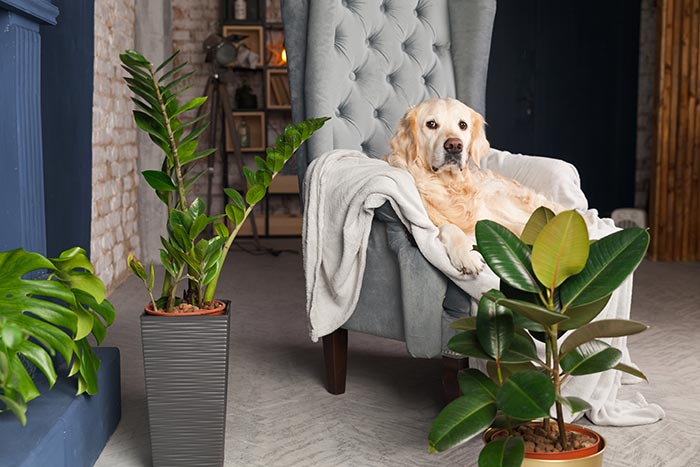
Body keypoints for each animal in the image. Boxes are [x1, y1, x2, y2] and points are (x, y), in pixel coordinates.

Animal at [382, 97, 564, 276]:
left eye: (463, 125)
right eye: (431, 124)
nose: (454, 145)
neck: (449, 184)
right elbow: (449, 227)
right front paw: (466, 254)